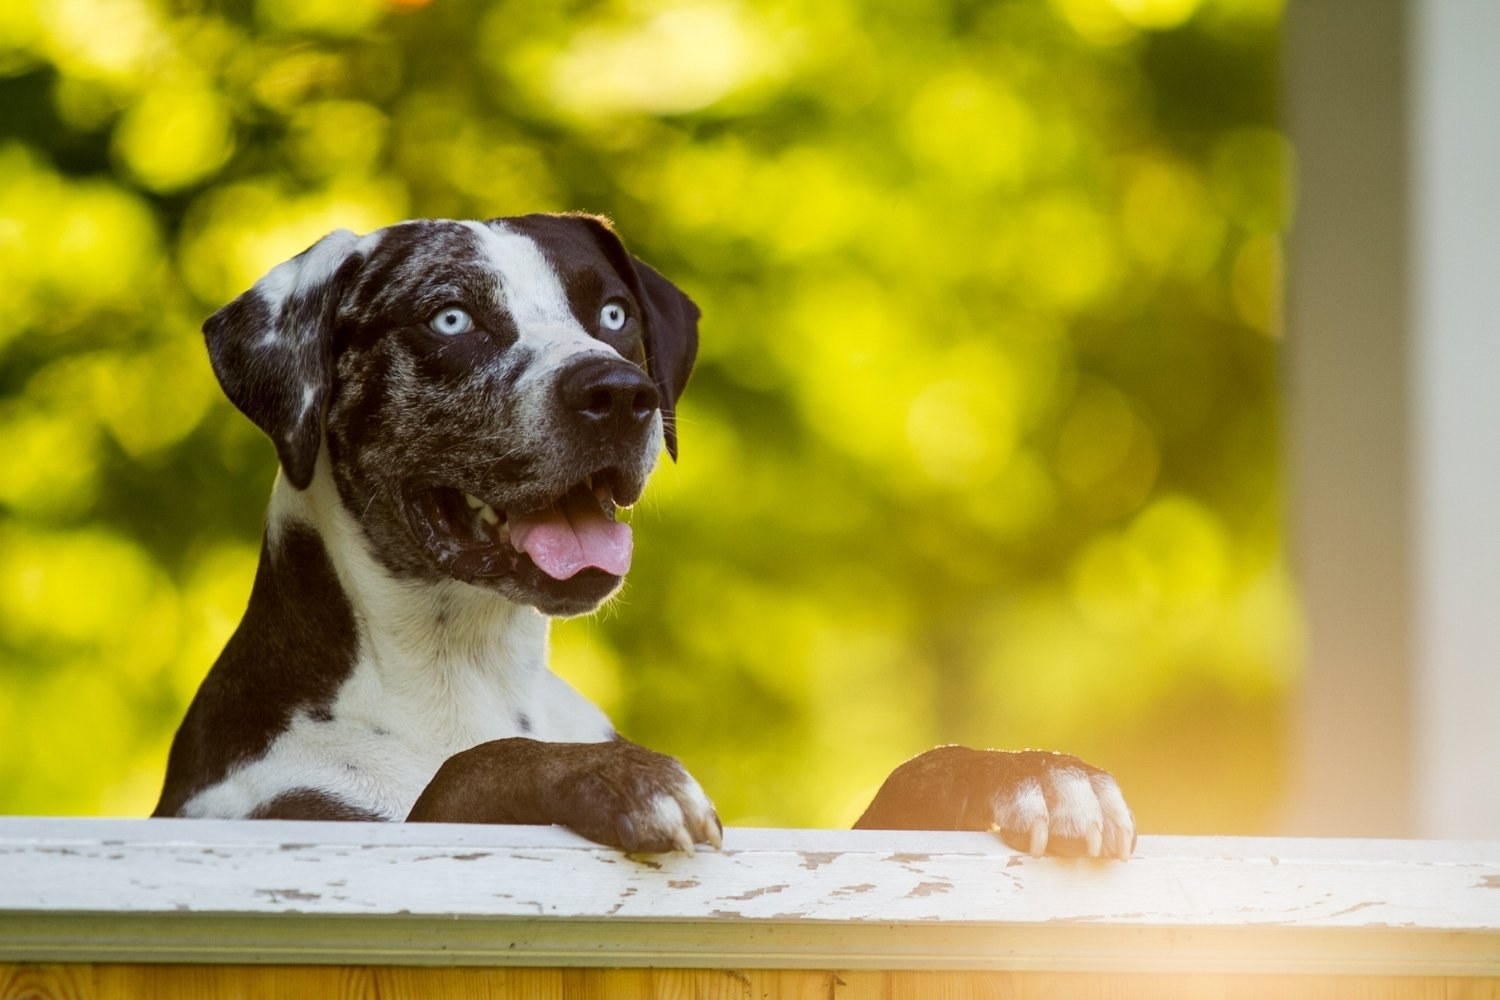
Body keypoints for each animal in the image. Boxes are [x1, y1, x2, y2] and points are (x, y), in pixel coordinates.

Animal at [155, 212, 1134, 863]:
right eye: (451, 318)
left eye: (616, 315)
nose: (618, 393)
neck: (467, 665)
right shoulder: (297, 823)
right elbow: (465, 772)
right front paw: (612, 779)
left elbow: (906, 786)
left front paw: (1025, 774)